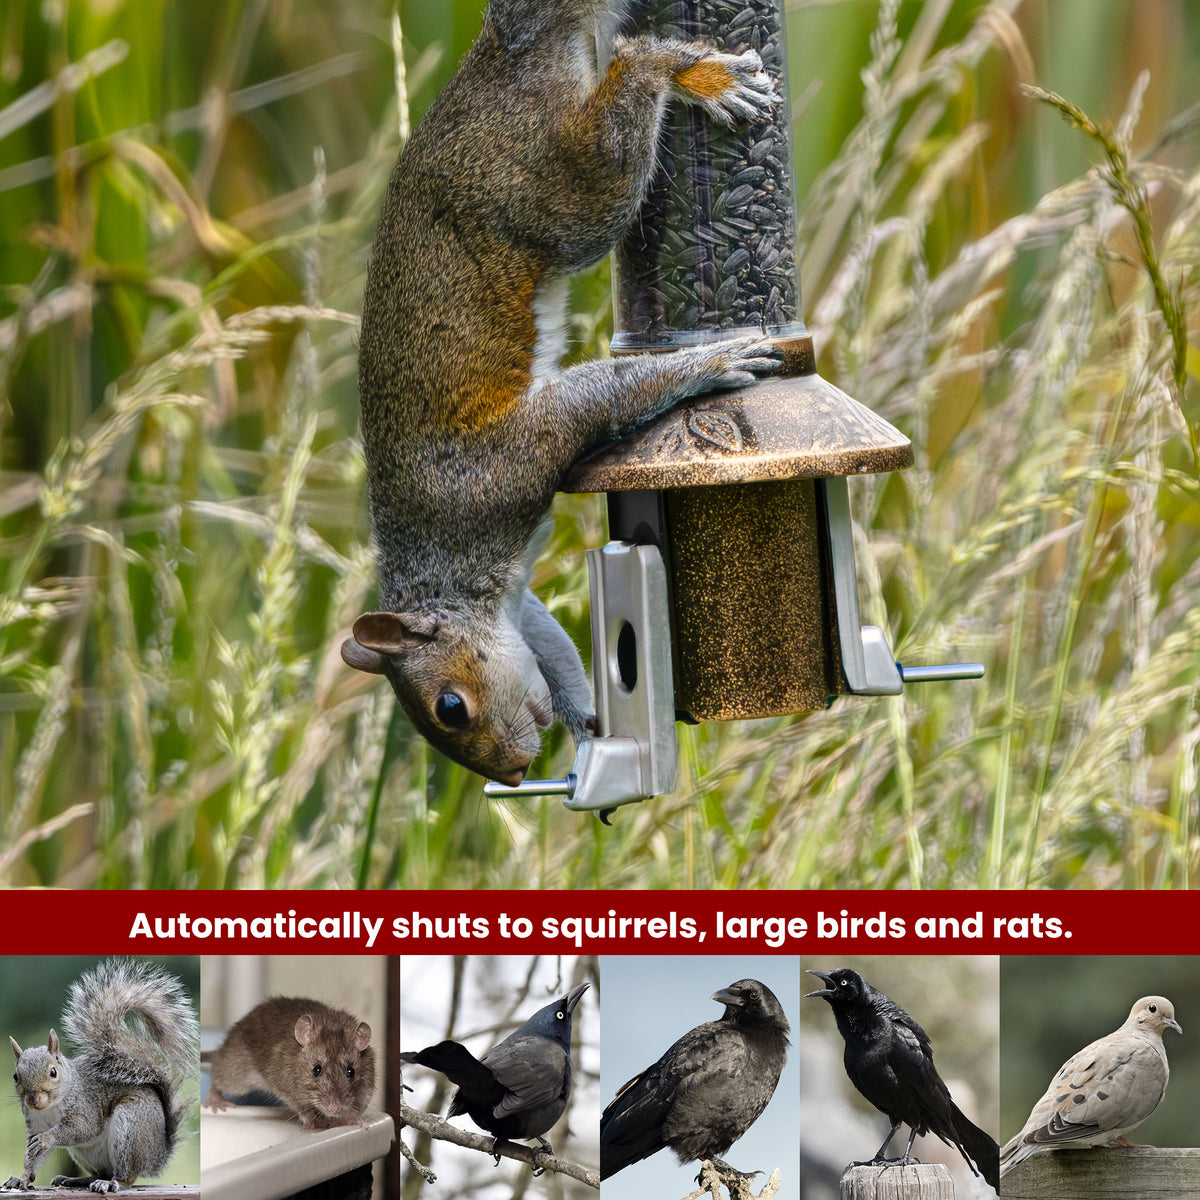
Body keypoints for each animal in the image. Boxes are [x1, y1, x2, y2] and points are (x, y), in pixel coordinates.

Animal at [4, 958, 198, 1194]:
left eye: (53, 1072)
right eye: (15, 1076)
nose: (33, 1099)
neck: (51, 1106)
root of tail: (157, 1155)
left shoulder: (86, 1105)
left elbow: (83, 1128)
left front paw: (47, 1138)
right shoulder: (35, 1122)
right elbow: (33, 1157)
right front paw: (21, 1178)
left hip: (131, 1127)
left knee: (127, 1175)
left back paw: (113, 1182)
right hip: (85, 1153)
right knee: (102, 1171)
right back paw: (76, 1180)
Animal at [343, 0, 784, 785]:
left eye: (449, 707)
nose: (514, 773)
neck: (444, 564)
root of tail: (502, 58)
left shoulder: (504, 466)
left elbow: (600, 399)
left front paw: (713, 360)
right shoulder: (520, 609)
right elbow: (552, 648)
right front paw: (588, 725)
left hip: (551, 189)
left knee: (622, 103)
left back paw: (685, 71)